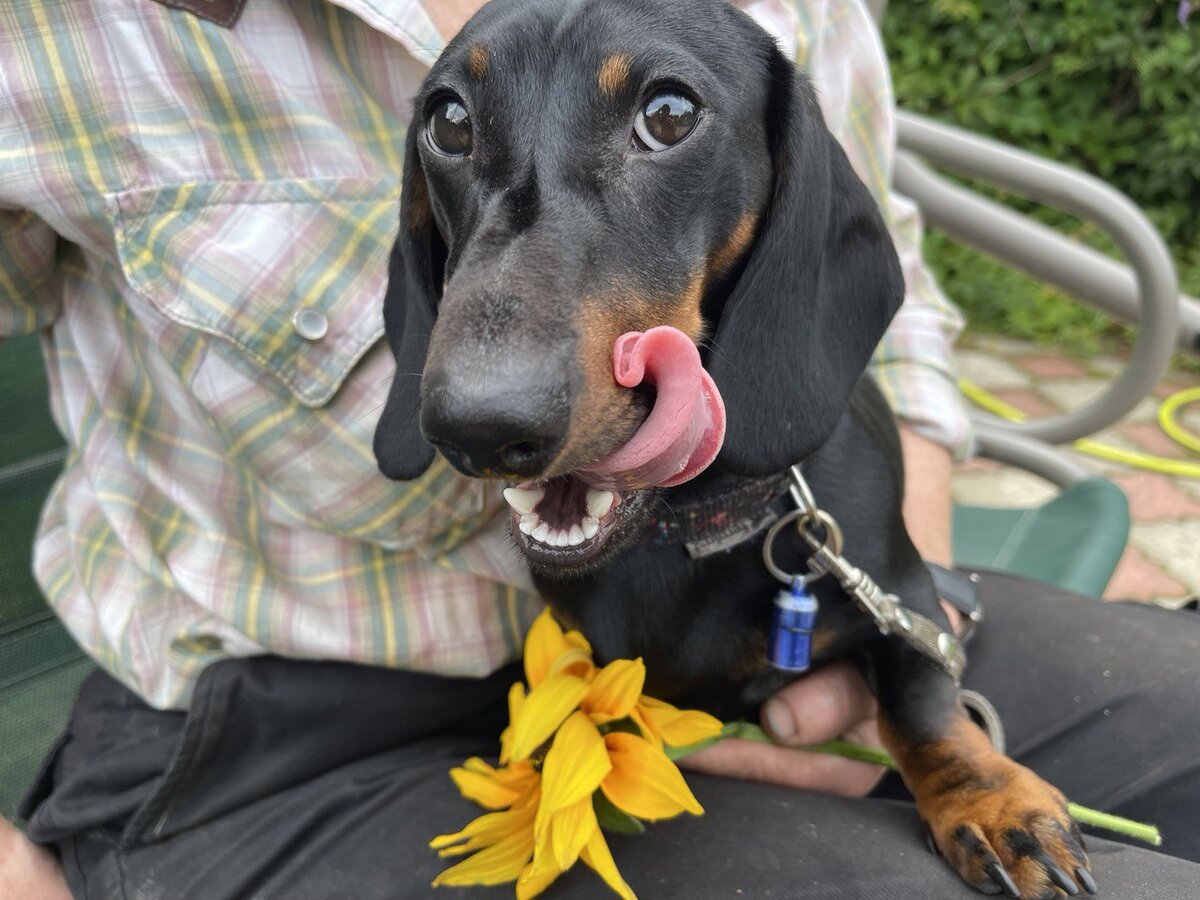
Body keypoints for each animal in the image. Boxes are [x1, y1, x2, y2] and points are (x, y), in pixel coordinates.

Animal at [374, 1, 1099, 897]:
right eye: (448, 122)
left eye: (670, 113)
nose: (477, 424)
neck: (689, 524)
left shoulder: (905, 599)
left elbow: (923, 697)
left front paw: (993, 801)